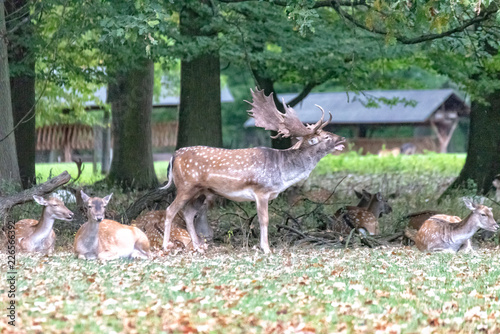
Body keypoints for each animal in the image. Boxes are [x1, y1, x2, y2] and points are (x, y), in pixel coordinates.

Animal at [162, 88, 346, 253]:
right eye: (326, 137)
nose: (343, 139)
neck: (283, 173)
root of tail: (174, 156)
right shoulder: (261, 191)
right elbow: (264, 220)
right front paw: (267, 249)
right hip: (185, 186)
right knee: (170, 210)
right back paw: (166, 246)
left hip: (200, 191)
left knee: (188, 213)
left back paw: (198, 247)